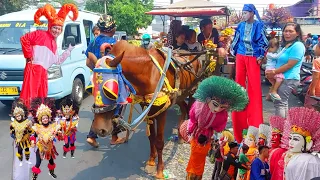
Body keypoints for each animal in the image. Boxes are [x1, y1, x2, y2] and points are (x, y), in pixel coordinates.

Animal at [86, 40, 204, 179]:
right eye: (90, 89)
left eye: (110, 91)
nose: (99, 129)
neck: (148, 73)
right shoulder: (148, 110)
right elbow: (151, 137)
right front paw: (151, 161)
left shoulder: (162, 111)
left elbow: (159, 141)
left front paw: (159, 170)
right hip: (179, 95)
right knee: (184, 109)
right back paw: (180, 136)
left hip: (193, 90)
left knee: (190, 109)